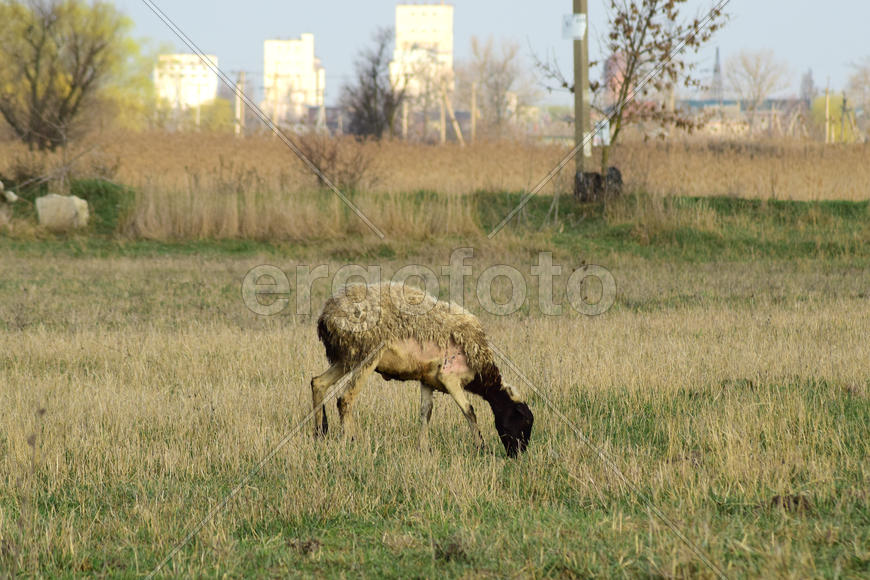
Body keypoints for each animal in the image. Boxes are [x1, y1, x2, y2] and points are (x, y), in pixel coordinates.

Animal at [311, 282, 534, 457]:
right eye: (524, 421)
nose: (518, 454)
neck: (482, 373)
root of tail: (326, 316)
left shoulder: (428, 379)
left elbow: (426, 412)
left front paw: (424, 449)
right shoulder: (449, 377)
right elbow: (469, 411)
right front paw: (482, 448)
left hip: (348, 357)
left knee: (318, 383)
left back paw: (320, 433)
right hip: (367, 355)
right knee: (345, 398)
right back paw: (349, 440)